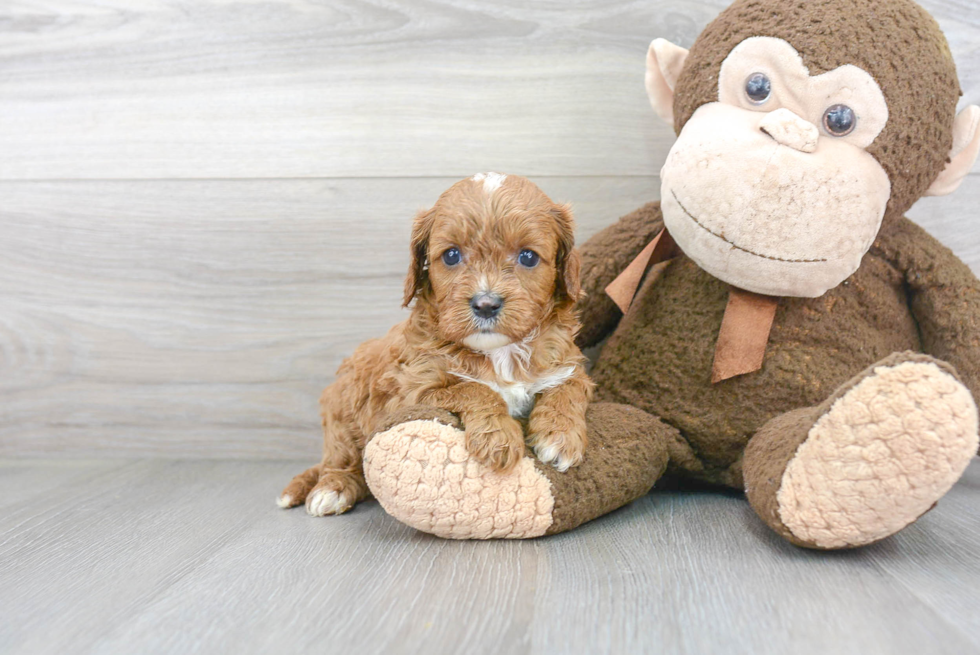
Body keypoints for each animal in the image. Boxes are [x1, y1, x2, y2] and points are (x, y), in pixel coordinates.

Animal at [280, 174, 592, 516]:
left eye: (528, 257)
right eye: (452, 255)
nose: (485, 304)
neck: (500, 352)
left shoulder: (566, 362)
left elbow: (567, 387)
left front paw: (560, 436)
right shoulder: (411, 391)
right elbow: (475, 389)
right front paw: (499, 437)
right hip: (340, 411)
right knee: (341, 461)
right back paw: (332, 489)